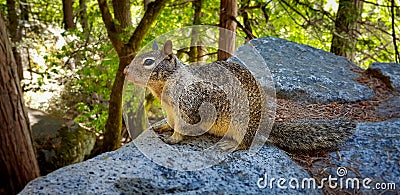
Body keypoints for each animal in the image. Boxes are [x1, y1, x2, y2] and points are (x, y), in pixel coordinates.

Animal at [122, 40, 356, 152]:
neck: (164, 88)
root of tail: (264, 125)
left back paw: (231, 145)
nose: (124, 71)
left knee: (246, 143)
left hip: (241, 123)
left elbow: (182, 127)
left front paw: (173, 138)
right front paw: (163, 127)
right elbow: (170, 122)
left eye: (149, 62)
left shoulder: (188, 107)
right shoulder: (170, 110)